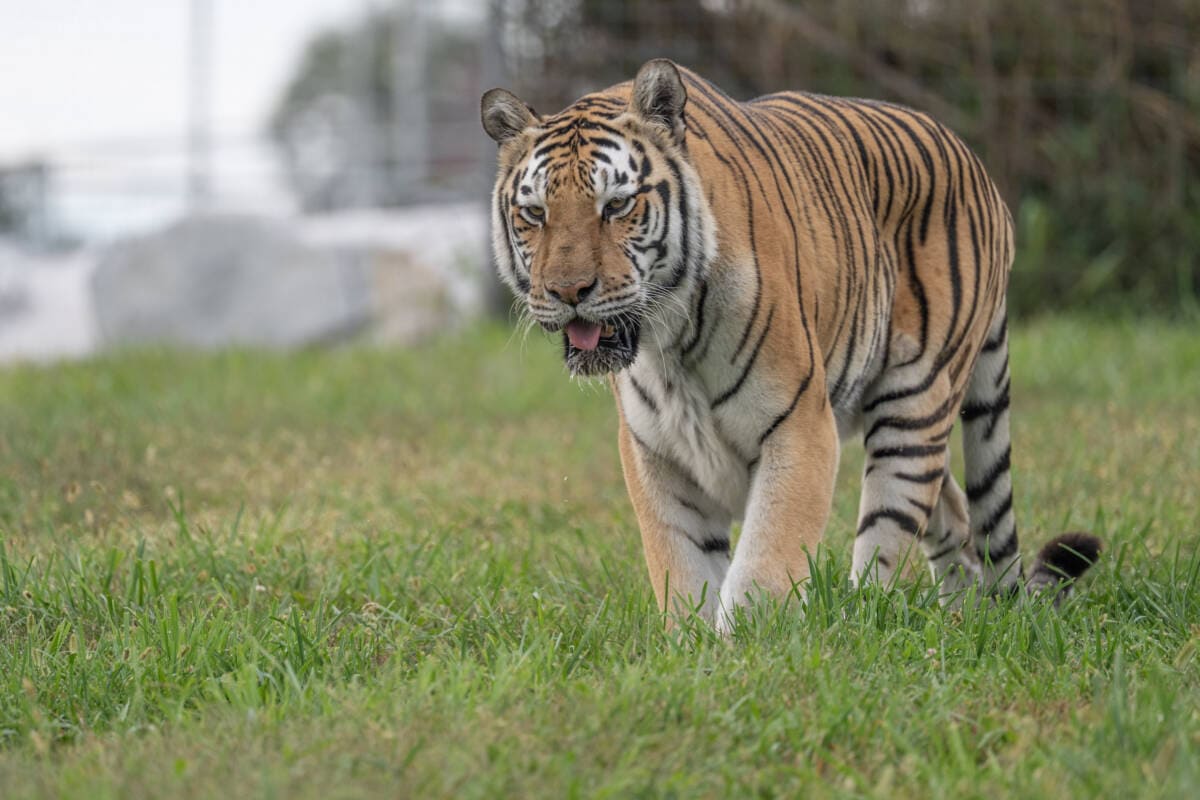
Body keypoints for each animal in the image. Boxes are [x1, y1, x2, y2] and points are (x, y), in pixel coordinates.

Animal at [481, 59, 1100, 632]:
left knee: (891, 537)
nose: (568, 291)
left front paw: (743, 651)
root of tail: (978, 170)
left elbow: (763, 566)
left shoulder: (799, 425)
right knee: (954, 513)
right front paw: (689, 650)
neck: (670, 343)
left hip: (916, 402)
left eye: (616, 206)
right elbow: (681, 568)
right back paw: (962, 616)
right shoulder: (654, 450)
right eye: (534, 213)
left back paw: (862, 619)